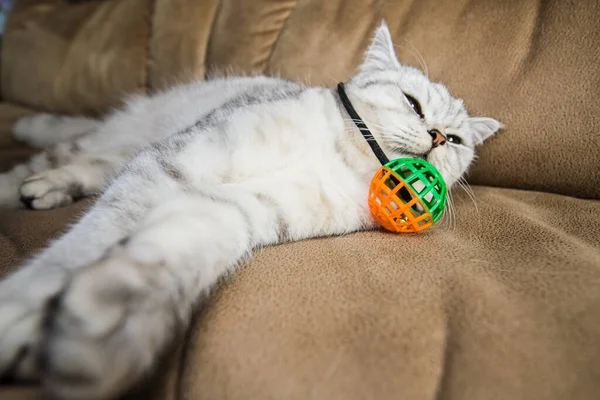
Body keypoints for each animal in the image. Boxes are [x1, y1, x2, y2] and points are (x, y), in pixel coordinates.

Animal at [0, 21, 502, 400]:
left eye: (456, 140)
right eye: (413, 104)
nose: (437, 137)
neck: (338, 154)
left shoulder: (232, 210)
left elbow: (168, 256)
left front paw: (108, 322)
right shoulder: (175, 165)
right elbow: (83, 244)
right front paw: (21, 315)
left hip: (128, 155)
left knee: (90, 167)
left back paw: (45, 192)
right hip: (129, 140)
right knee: (60, 154)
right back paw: (27, 176)